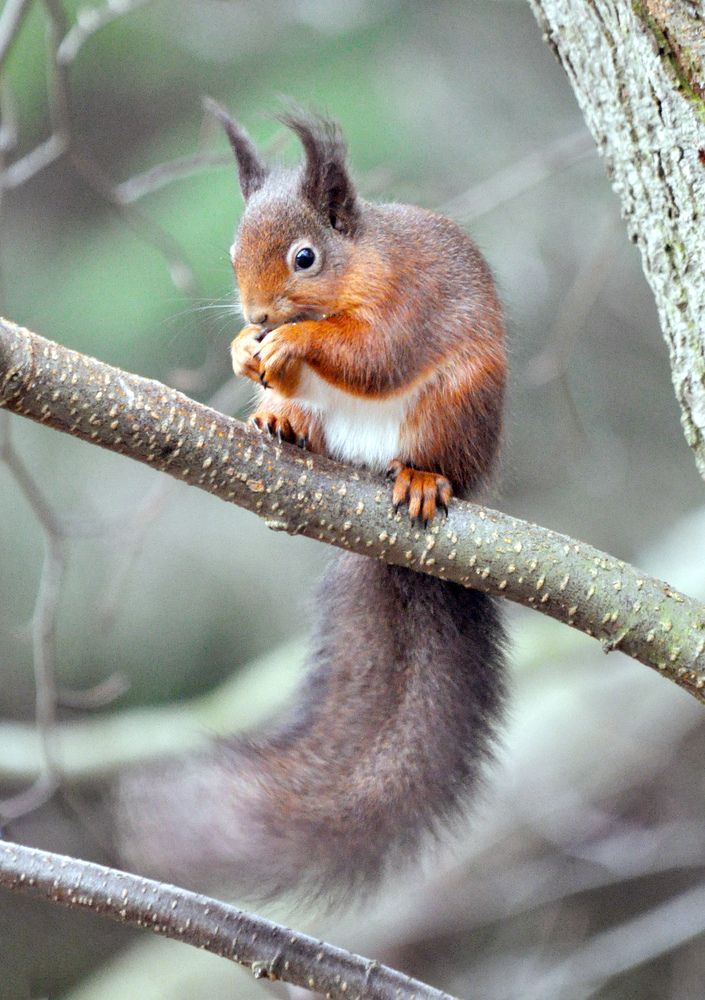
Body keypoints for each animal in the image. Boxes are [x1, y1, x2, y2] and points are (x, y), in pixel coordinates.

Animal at [115, 105, 506, 904]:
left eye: (304, 257)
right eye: (233, 251)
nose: (258, 313)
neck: (360, 264)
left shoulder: (406, 304)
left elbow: (370, 355)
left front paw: (294, 339)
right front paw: (246, 349)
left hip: (458, 407)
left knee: (433, 451)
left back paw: (423, 478)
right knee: (308, 418)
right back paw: (283, 420)